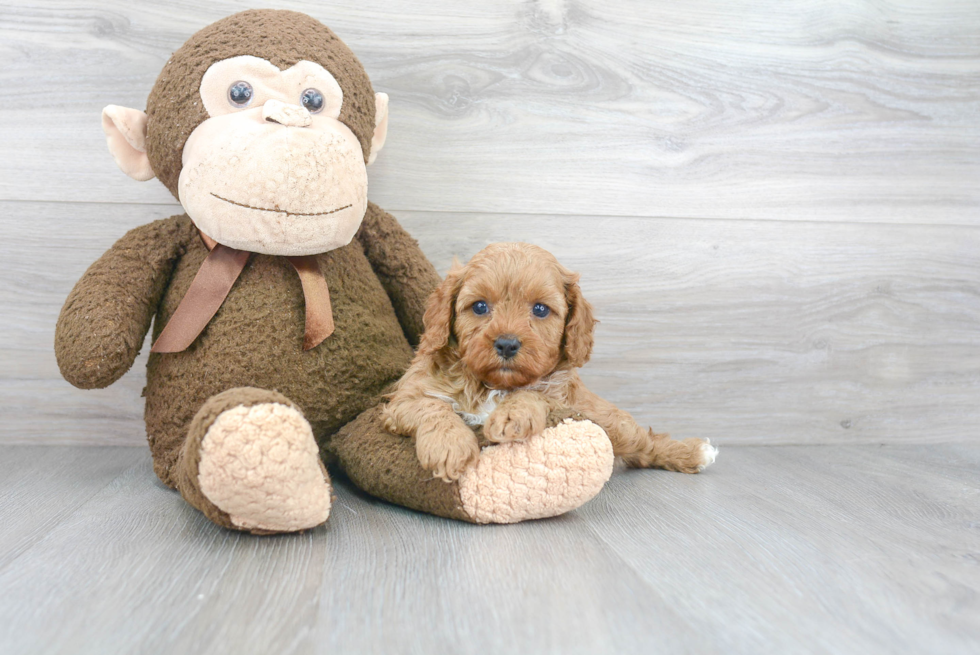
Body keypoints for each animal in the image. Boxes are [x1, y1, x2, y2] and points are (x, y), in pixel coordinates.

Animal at [384, 241, 720, 482]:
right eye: (479, 306)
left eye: (541, 309)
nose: (507, 343)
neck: (491, 386)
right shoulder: (402, 400)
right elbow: (432, 407)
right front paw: (449, 446)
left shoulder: (562, 399)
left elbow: (533, 394)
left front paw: (513, 415)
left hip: (607, 420)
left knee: (645, 441)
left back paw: (694, 452)